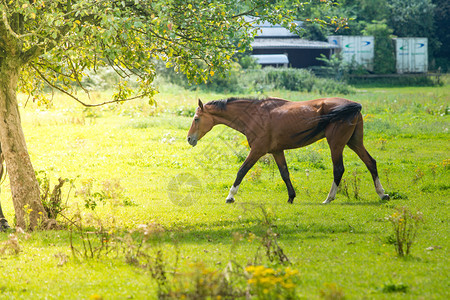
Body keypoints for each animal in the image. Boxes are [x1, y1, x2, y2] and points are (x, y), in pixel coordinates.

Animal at [187, 97, 390, 205]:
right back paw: (382, 194)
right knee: (371, 163)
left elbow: (241, 171)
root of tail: (354, 105)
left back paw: (329, 198)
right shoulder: (277, 151)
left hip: (336, 144)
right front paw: (291, 197)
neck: (255, 115)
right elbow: (285, 174)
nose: (189, 139)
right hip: (354, 142)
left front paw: (230, 196)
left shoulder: (257, 151)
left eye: (196, 118)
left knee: (338, 169)